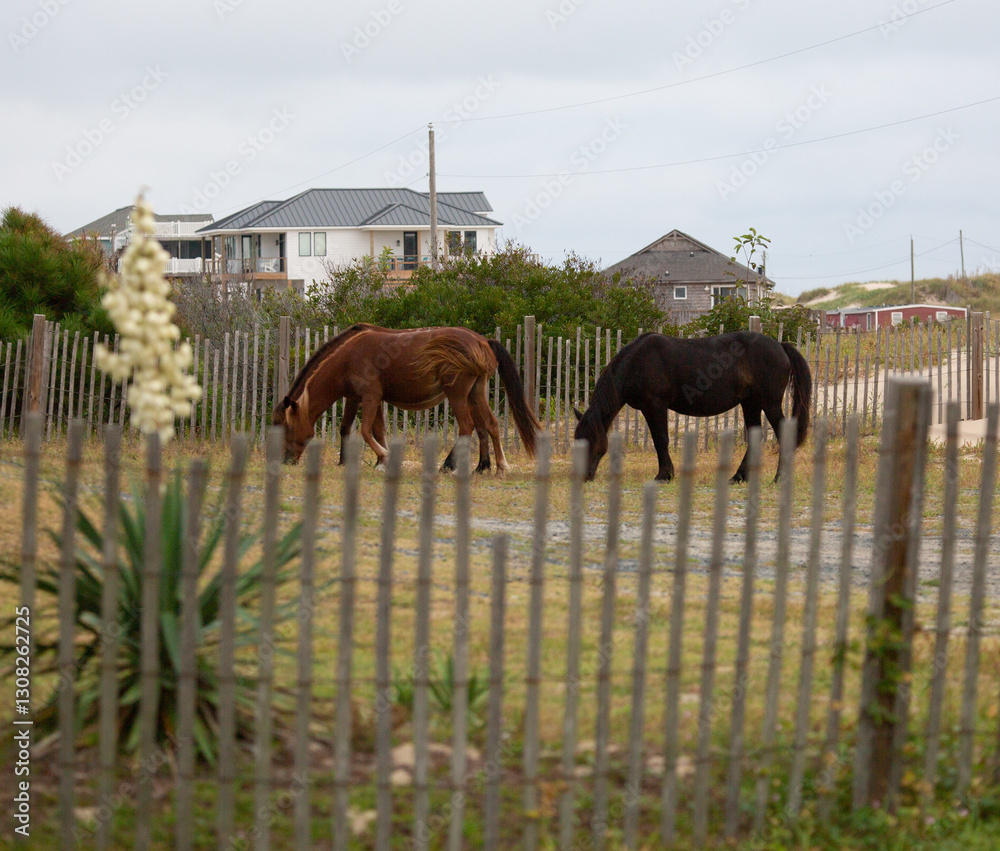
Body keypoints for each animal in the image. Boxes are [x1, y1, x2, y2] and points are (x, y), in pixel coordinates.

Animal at [273, 323, 542, 472]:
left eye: (286, 428)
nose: (284, 460)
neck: (347, 358)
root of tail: (482, 340)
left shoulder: (369, 397)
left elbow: (365, 431)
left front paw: (383, 457)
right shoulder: (365, 399)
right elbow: (367, 429)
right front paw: (377, 462)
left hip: (457, 394)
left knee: (467, 426)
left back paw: (448, 465)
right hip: (475, 393)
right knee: (490, 425)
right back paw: (495, 467)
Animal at [573, 330, 811, 482]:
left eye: (592, 442)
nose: (584, 476)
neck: (637, 362)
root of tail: (780, 346)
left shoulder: (655, 406)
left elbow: (661, 440)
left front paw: (664, 475)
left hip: (769, 403)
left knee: (783, 435)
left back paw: (779, 478)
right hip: (750, 403)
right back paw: (738, 477)